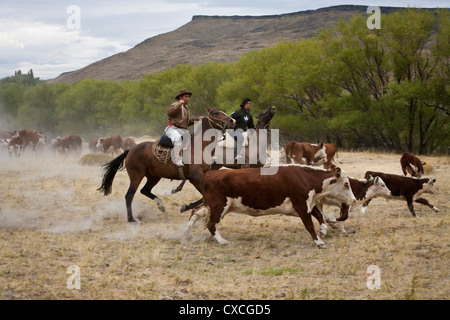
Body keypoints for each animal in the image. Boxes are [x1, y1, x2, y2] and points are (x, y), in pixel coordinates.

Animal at [98, 106, 236, 221]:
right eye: (216, 113)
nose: (232, 121)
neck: (200, 146)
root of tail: (131, 150)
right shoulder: (196, 177)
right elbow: (204, 196)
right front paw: (185, 207)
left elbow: (204, 196)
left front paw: (185, 207)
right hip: (136, 176)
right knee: (129, 195)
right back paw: (131, 218)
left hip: (153, 177)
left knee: (144, 190)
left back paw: (160, 204)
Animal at [184, 166, 356, 249]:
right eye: (346, 184)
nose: (354, 200)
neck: (305, 177)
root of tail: (209, 174)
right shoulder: (301, 204)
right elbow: (309, 225)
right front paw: (318, 242)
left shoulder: (306, 204)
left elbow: (319, 216)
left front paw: (324, 230)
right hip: (219, 206)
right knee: (210, 223)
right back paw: (222, 241)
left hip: (212, 204)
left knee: (196, 212)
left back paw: (186, 234)